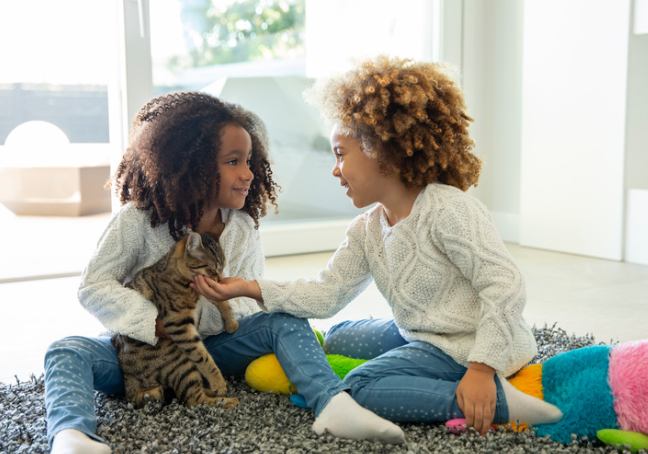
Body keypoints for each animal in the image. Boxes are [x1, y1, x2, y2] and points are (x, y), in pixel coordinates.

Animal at [111, 232, 240, 410]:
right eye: (213, 268)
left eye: (222, 268)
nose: (220, 279)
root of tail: (130, 387)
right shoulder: (179, 326)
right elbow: (203, 357)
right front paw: (218, 382)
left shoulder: (204, 292)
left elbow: (222, 301)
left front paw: (231, 322)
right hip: (181, 363)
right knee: (193, 400)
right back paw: (226, 400)